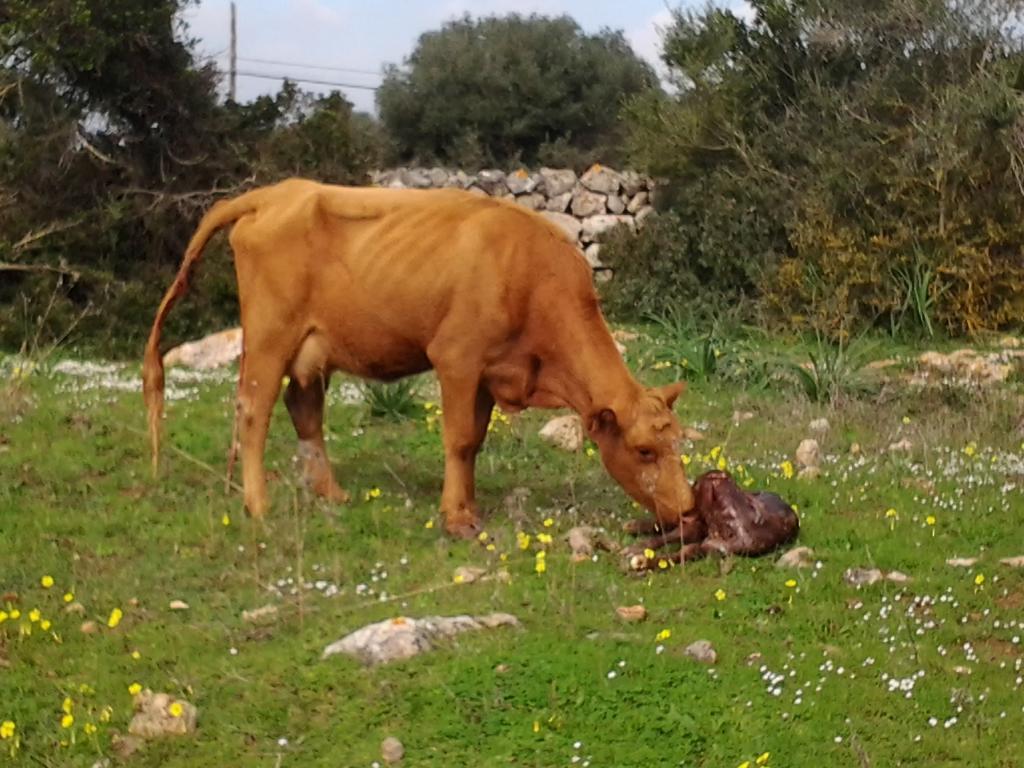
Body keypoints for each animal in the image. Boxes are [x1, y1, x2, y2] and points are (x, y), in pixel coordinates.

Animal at [142, 181, 696, 540]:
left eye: (678, 443)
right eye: (644, 451)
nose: (689, 510)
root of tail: (275, 193)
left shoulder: (488, 375)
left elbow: (474, 442)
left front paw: (469, 505)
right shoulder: (456, 358)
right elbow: (458, 439)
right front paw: (456, 518)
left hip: (312, 348)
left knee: (305, 412)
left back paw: (331, 494)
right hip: (269, 335)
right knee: (253, 413)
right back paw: (258, 506)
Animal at [622, 468, 798, 573]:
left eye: (695, 485)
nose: (683, 501)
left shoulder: (704, 547)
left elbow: (679, 553)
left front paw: (642, 561)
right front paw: (637, 552)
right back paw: (633, 527)